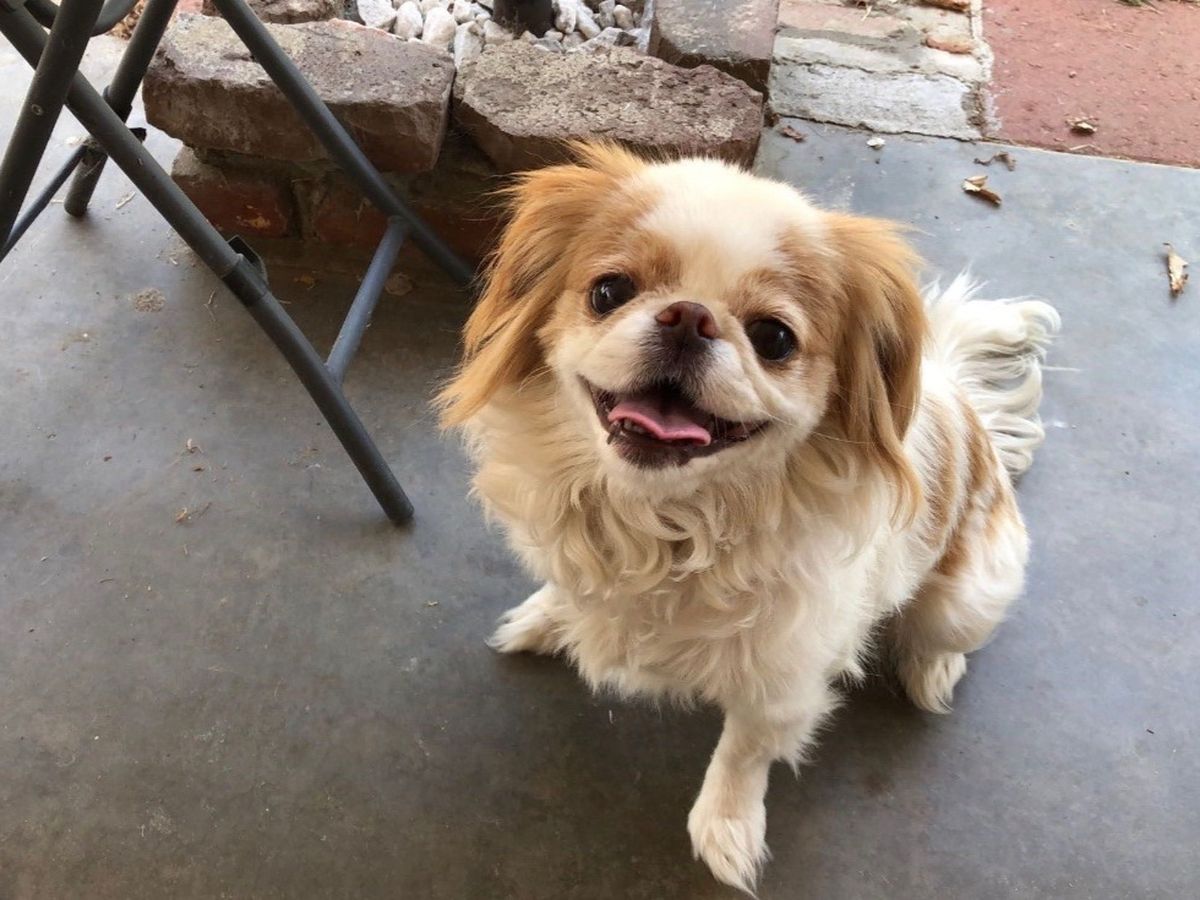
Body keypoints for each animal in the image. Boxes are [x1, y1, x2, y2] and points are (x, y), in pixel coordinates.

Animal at [439, 143, 1059, 891]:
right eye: (609, 292)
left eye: (773, 337)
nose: (688, 315)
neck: (668, 528)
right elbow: (570, 589)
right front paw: (551, 616)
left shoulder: (782, 677)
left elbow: (743, 753)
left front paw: (727, 829)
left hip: (965, 599)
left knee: (947, 635)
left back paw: (930, 668)